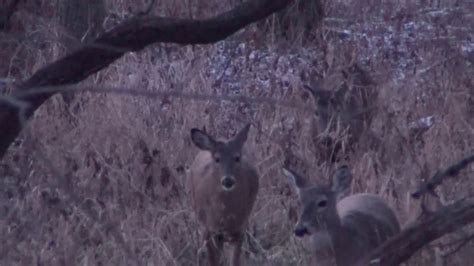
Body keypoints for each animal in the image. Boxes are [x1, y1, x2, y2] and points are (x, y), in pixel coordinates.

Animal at [187, 124, 260, 266]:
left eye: (237, 157)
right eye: (217, 159)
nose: (228, 180)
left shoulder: (240, 228)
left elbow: (234, 261)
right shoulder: (209, 228)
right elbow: (213, 260)